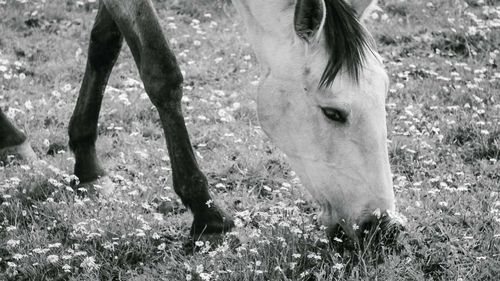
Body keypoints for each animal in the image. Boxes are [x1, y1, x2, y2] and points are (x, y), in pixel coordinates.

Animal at [0, 0, 402, 245]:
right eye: (333, 112)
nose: (384, 228)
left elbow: (104, 43)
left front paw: (87, 165)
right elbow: (161, 70)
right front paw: (207, 212)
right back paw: (12, 138)